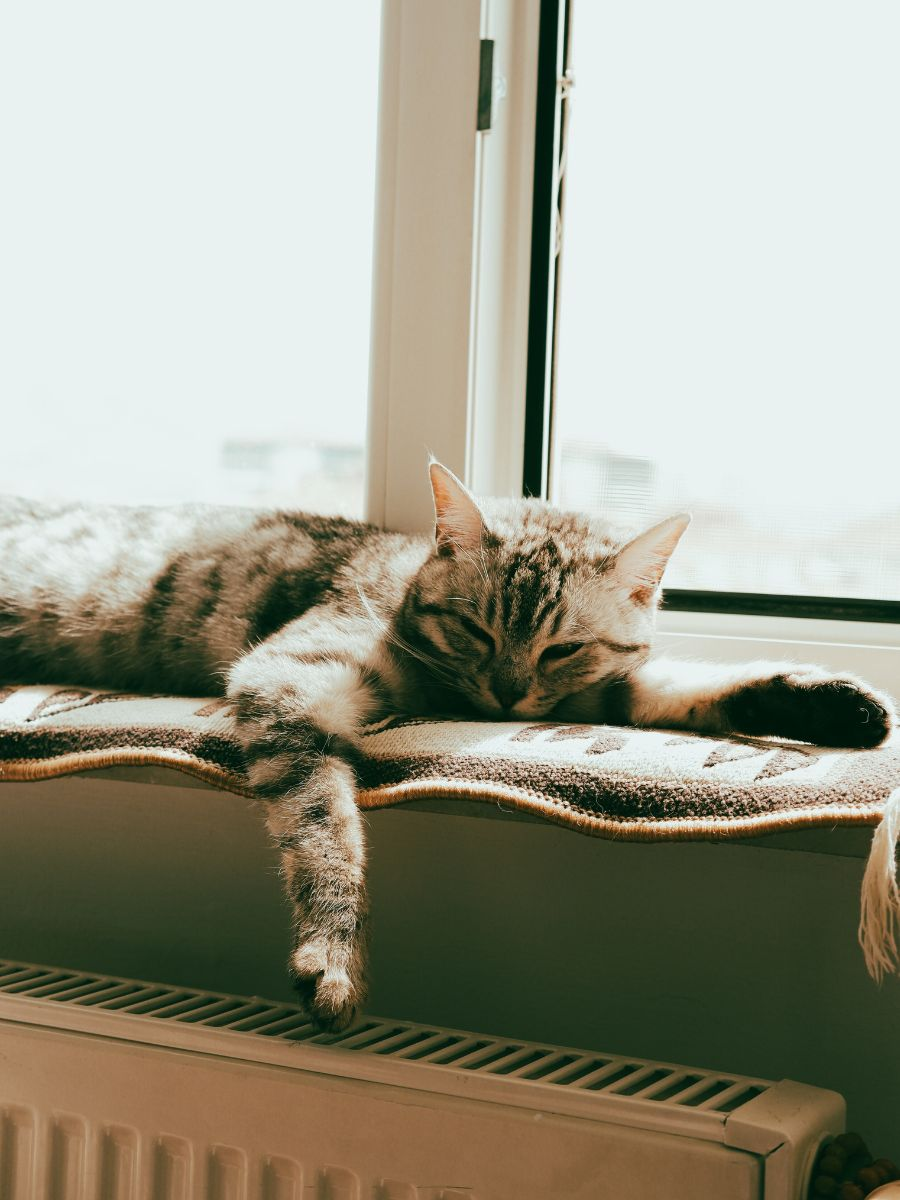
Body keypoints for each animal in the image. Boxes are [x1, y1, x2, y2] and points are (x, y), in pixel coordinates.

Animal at [0, 463, 897, 1027]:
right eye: (475, 628)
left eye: (561, 648)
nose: (504, 693)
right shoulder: (288, 680)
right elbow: (327, 831)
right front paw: (333, 953)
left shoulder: (593, 689)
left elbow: (685, 685)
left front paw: (838, 707)